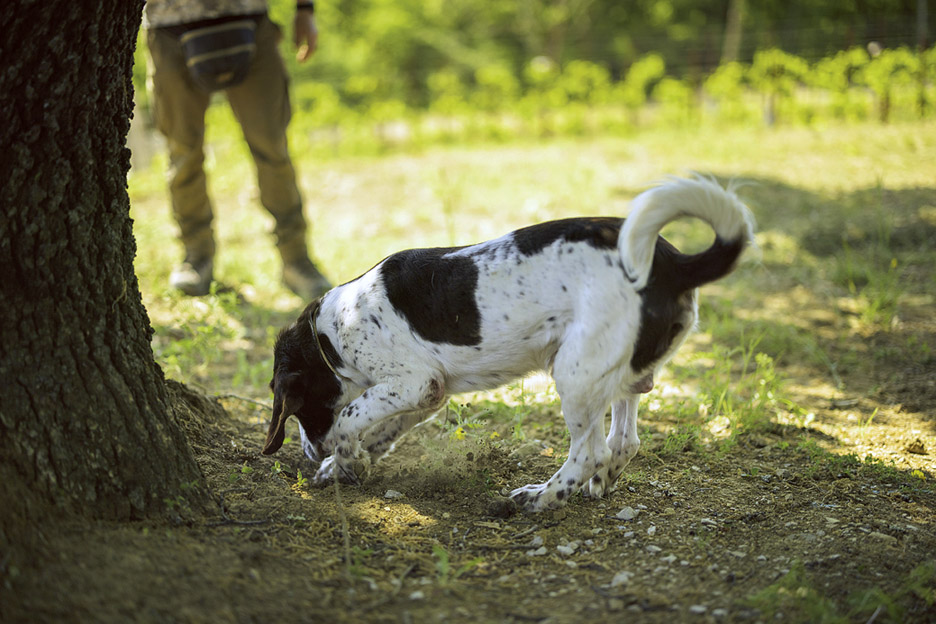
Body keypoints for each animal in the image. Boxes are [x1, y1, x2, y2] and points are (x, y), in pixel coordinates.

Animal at [262, 176, 752, 512]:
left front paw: (348, 461)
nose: (309, 454)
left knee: (589, 452)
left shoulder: (412, 383)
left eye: (296, 407)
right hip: (619, 375)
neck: (329, 330)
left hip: (574, 374)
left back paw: (540, 498)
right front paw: (343, 467)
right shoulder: (429, 393)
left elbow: (349, 419)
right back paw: (600, 483)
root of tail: (674, 263)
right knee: (623, 443)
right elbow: (381, 430)